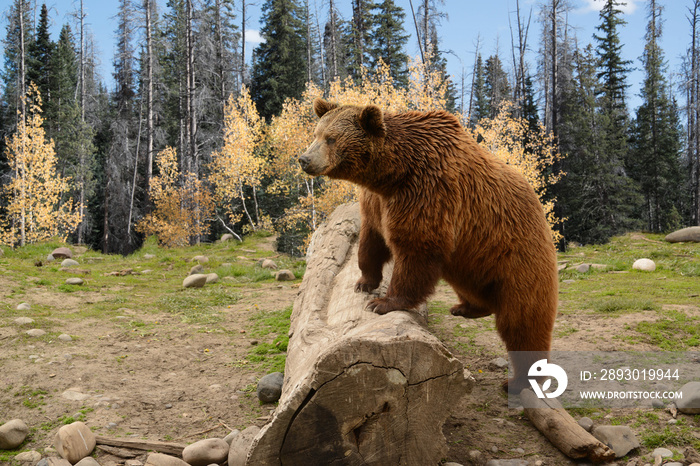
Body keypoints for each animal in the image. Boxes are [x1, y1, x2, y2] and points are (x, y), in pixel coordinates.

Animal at [300, 99, 556, 394]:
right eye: (316, 133)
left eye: (331, 138)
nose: (304, 159)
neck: (392, 174)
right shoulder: (377, 202)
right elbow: (371, 241)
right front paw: (364, 282)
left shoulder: (428, 193)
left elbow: (416, 250)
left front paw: (382, 303)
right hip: (473, 260)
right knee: (472, 287)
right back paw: (466, 308)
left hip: (517, 256)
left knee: (522, 322)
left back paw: (518, 380)